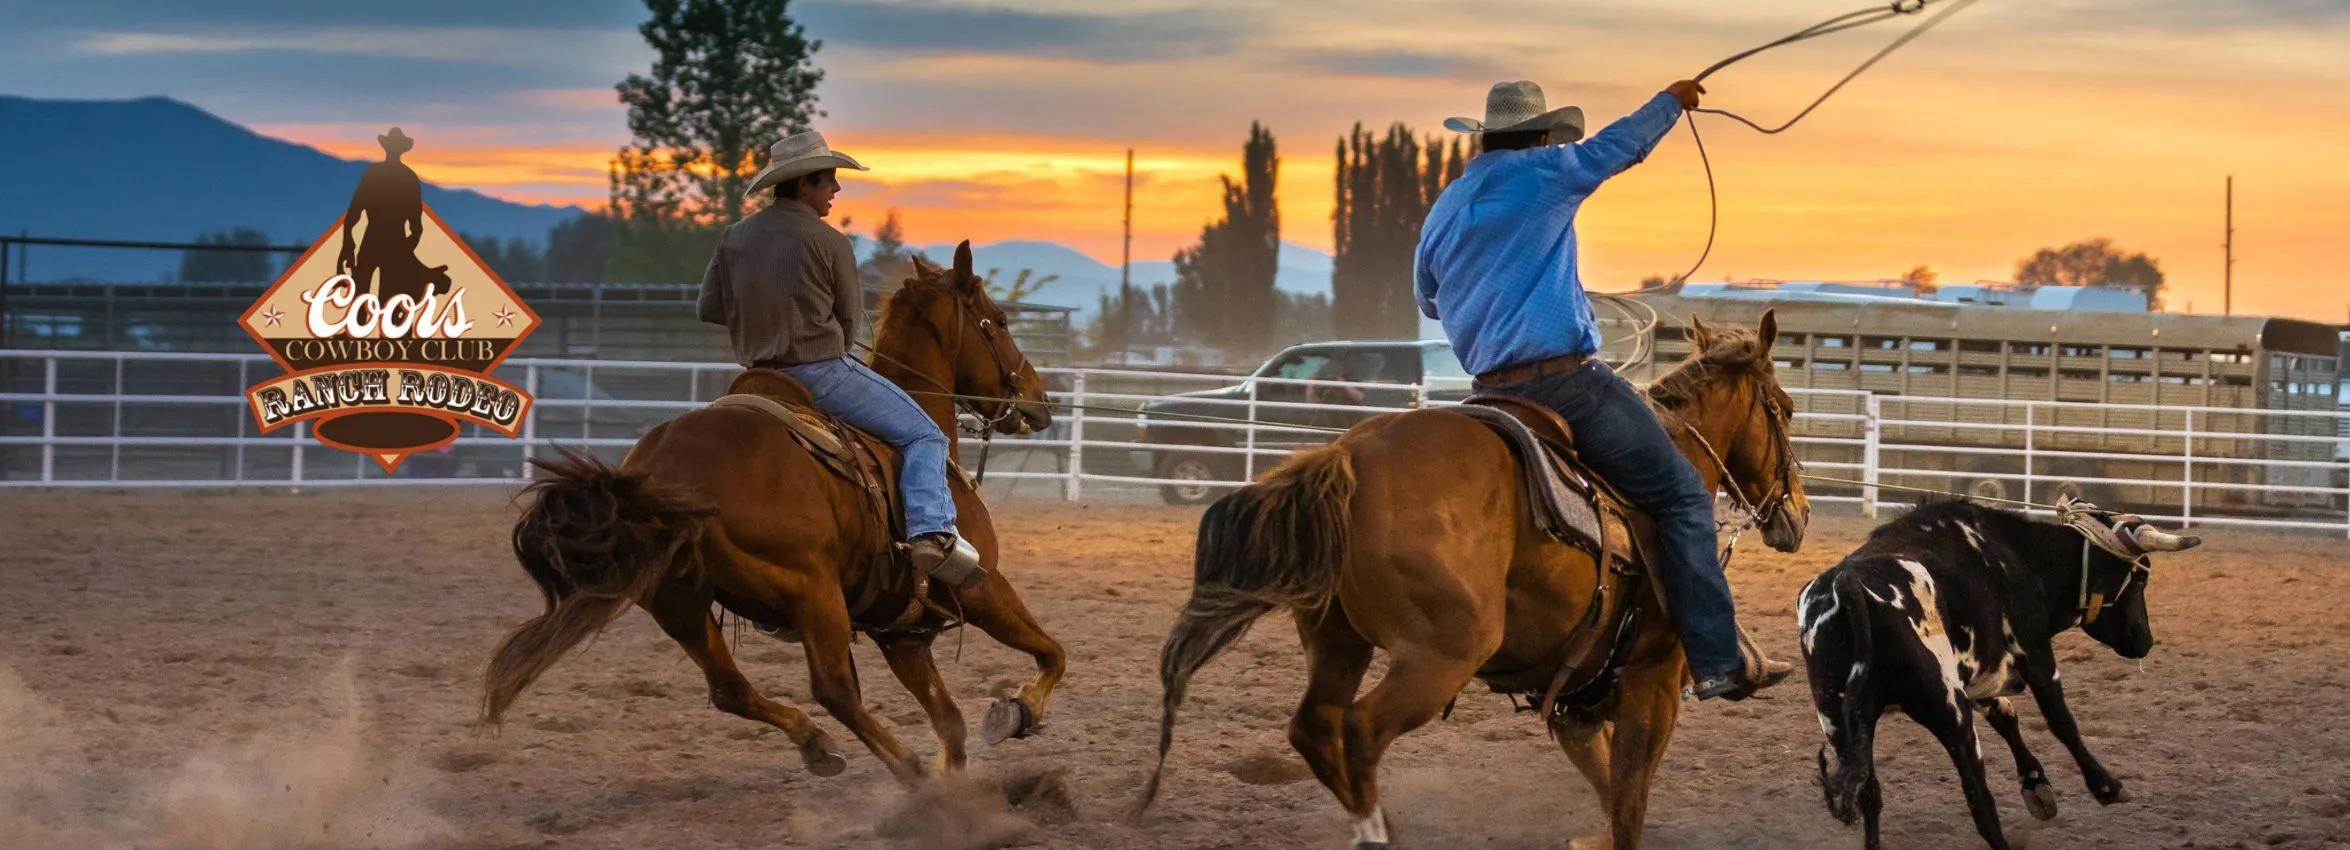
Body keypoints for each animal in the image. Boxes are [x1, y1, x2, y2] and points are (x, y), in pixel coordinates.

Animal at [477, 239, 1066, 784]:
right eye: (999, 321)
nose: (1039, 403)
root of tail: (660, 472)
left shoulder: (902, 632)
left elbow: (952, 722)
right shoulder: (982, 588)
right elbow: (1052, 653)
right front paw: (1016, 712)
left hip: (679, 599)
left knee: (731, 690)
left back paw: (820, 746)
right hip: (812, 590)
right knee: (834, 690)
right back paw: (907, 770)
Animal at [1137, 314, 1814, 850]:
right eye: (1783, 409)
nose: (1799, 514)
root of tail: (1348, 454)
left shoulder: (1577, 698)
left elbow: (1607, 786)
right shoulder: (1655, 679)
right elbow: (1627, 804)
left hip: (1338, 641)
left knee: (1315, 728)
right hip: (1444, 653)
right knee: (1359, 731)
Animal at [1795, 495, 2199, 845]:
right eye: (2140, 579)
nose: (2145, 641)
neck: (2015, 556)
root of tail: (1848, 584)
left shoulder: (1978, 673)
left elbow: (2006, 718)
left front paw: (2036, 785)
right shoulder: (2034, 651)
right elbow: (2060, 720)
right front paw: (2106, 785)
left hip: (1839, 721)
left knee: (1870, 795)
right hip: (1949, 710)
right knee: (1979, 797)